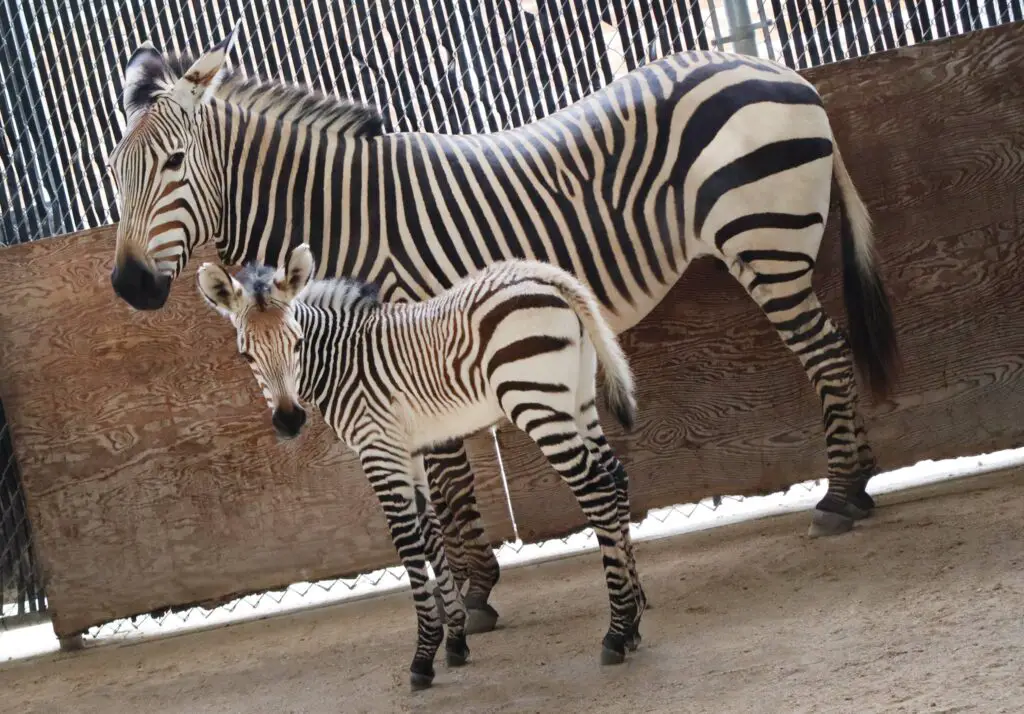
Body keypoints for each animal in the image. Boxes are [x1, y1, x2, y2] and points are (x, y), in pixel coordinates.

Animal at [105, 26, 897, 631]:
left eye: (173, 162)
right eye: (115, 168)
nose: (129, 286)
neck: (335, 213)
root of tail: (774, 67)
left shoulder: (403, 335)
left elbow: (450, 479)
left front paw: (474, 596)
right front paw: (470, 590)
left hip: (766, 239)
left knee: (826, 355)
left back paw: (841, 494)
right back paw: (856, 488)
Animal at [198, 244, 643, 684]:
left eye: (296, 342)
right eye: (245, 354)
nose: (289, 422)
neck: (341, 363)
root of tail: (545, 275)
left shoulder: (378, 450)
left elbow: (408, 543)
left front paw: (425, 654)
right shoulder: (408, 451)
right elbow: (431, 534)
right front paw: (456, 639)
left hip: (536, 401)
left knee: (596, 489)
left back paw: (616, 632)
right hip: (578, 399)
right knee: (616, 478)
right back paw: (634, 620)